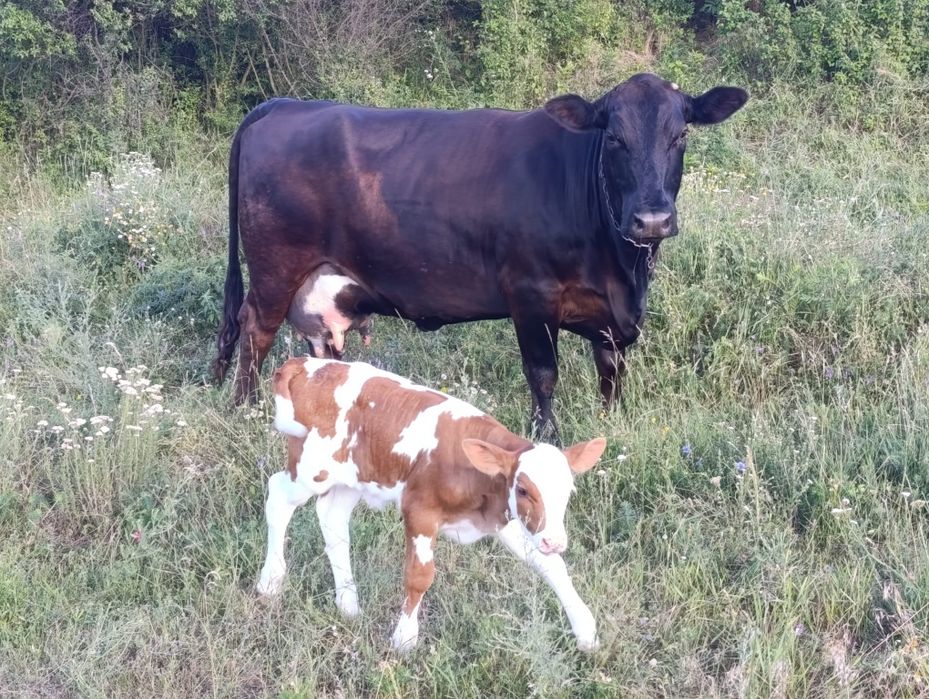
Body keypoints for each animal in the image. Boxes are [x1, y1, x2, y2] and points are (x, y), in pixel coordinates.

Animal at [213, 74, 748, 439]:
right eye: (615, 137)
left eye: (681, 136)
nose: (652, 219)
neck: (622, 270)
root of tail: (283, 105)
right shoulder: (530, 293)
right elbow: (543, 374)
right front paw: (546, 437)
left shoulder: (612, 319)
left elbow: (611, 374)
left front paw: (611, 423)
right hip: (275, 269)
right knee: (254, 330)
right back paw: (246, 409)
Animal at [257, 356, 607, 652]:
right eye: (522, 489)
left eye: (569, 490)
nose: (554, 540)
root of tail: (306, 363)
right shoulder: (419, 512)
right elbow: (419, 575)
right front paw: (404, 638)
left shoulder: (502, 519)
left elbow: (551, 566)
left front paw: (585, 629)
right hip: (310, 470)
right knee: (278, 497)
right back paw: (270, 582)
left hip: (353, 479)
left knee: (333, 519)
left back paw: (348, 604)